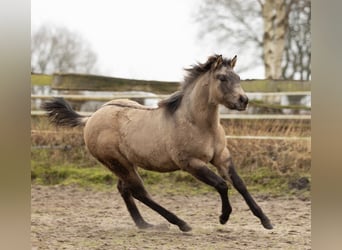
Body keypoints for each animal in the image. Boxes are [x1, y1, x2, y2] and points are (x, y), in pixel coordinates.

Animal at [42, 53, 272, 231]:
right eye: (222, 78)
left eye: (238, 77)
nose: (244, 100)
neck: (197, 123)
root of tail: (90, 118)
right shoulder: (191, 163)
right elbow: (222, 185)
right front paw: (224, 217)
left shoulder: (222, 157)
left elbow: (240, 184)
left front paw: (266, 221)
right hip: (118, 163)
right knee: (139, 192)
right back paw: (180, 223)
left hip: (125, 164)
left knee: (125, 189)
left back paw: (145, 225)